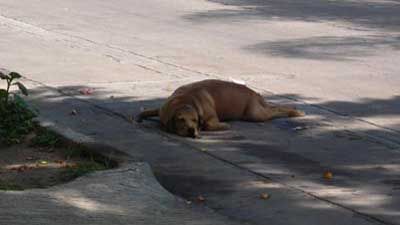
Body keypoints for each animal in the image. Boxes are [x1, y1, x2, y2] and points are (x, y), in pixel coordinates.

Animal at [136, 80, 304, 138]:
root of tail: (254, 93)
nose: (191, 130)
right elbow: (146, 111)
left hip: (255, 114)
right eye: (180, 120)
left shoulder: (210, 119)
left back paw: (295, 112)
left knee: (275, 111)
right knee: (274, 108)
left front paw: (224, 125)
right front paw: (140, 116)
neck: (184, 101)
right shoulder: (161, 110)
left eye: (194, 120)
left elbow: (209, 124)